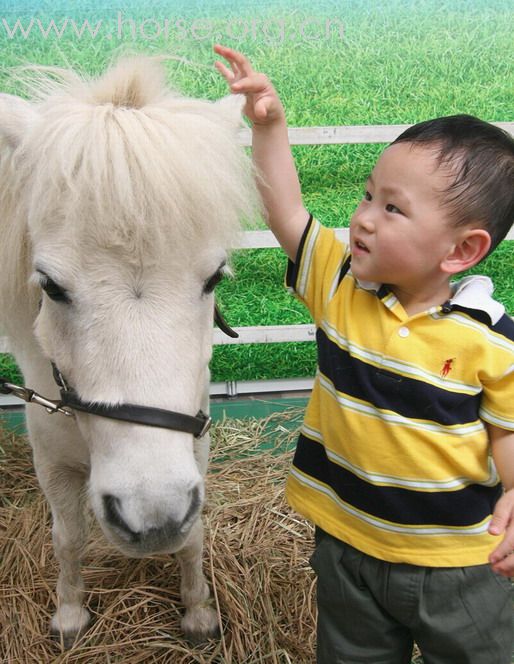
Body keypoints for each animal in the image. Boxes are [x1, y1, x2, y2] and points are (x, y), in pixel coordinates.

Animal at [0, 57, 258, 648]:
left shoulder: (194, 450)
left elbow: (192, 537)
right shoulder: (51, 462)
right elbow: (68, 538)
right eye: (50, 286)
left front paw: (198, 613)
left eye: (214, 277)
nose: (152, 517)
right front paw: (70, 614)